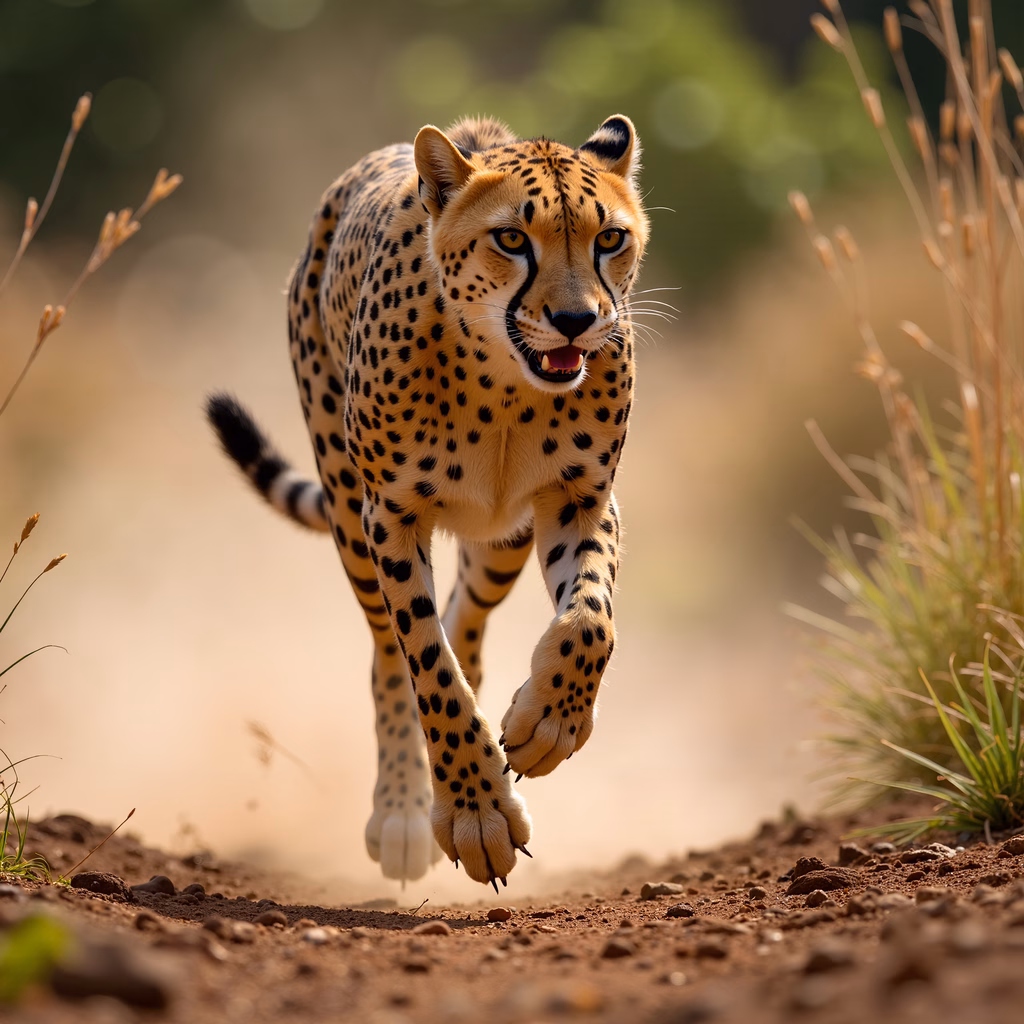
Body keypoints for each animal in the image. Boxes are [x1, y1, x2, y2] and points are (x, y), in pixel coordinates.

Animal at [207, 113, 649, 890]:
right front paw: (475, 810)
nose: (576, 319)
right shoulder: (391, 516)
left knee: (465, 623)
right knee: (391, 655)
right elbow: (426, 663)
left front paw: (550, 724)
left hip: (503, 539)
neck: (503, 387)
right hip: (348, 510)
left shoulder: (581, 497)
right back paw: (404, 812)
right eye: (512, 239)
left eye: (609, 239)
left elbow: (590, 620)